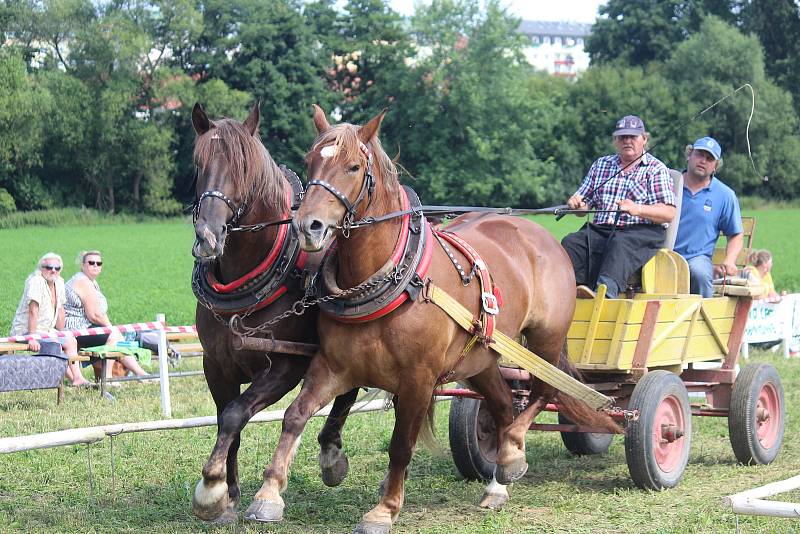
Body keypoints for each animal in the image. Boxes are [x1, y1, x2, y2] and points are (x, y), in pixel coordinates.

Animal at [188, 102, 356, 524]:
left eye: (244, 168)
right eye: (198, 163)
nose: (208, 237)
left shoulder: (285, 366)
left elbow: (235, 415)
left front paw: (211, 487)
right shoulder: (216, 364)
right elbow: (226, 420)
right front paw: (228, 494)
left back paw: (331, 455)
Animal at [244, 107, 620, 532]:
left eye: (353, 166)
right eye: (310, 163)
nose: (309, 226)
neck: (393, 278)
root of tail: (537, 234)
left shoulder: (418, 379)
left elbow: (401, 444)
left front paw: (384, 509)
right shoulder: (334, 366)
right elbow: (295, 415)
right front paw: (269, 494)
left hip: (545, 341)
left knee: (543, 393)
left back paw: (511, 457)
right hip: (481, 359)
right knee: (503, 407)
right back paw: (497, 485)